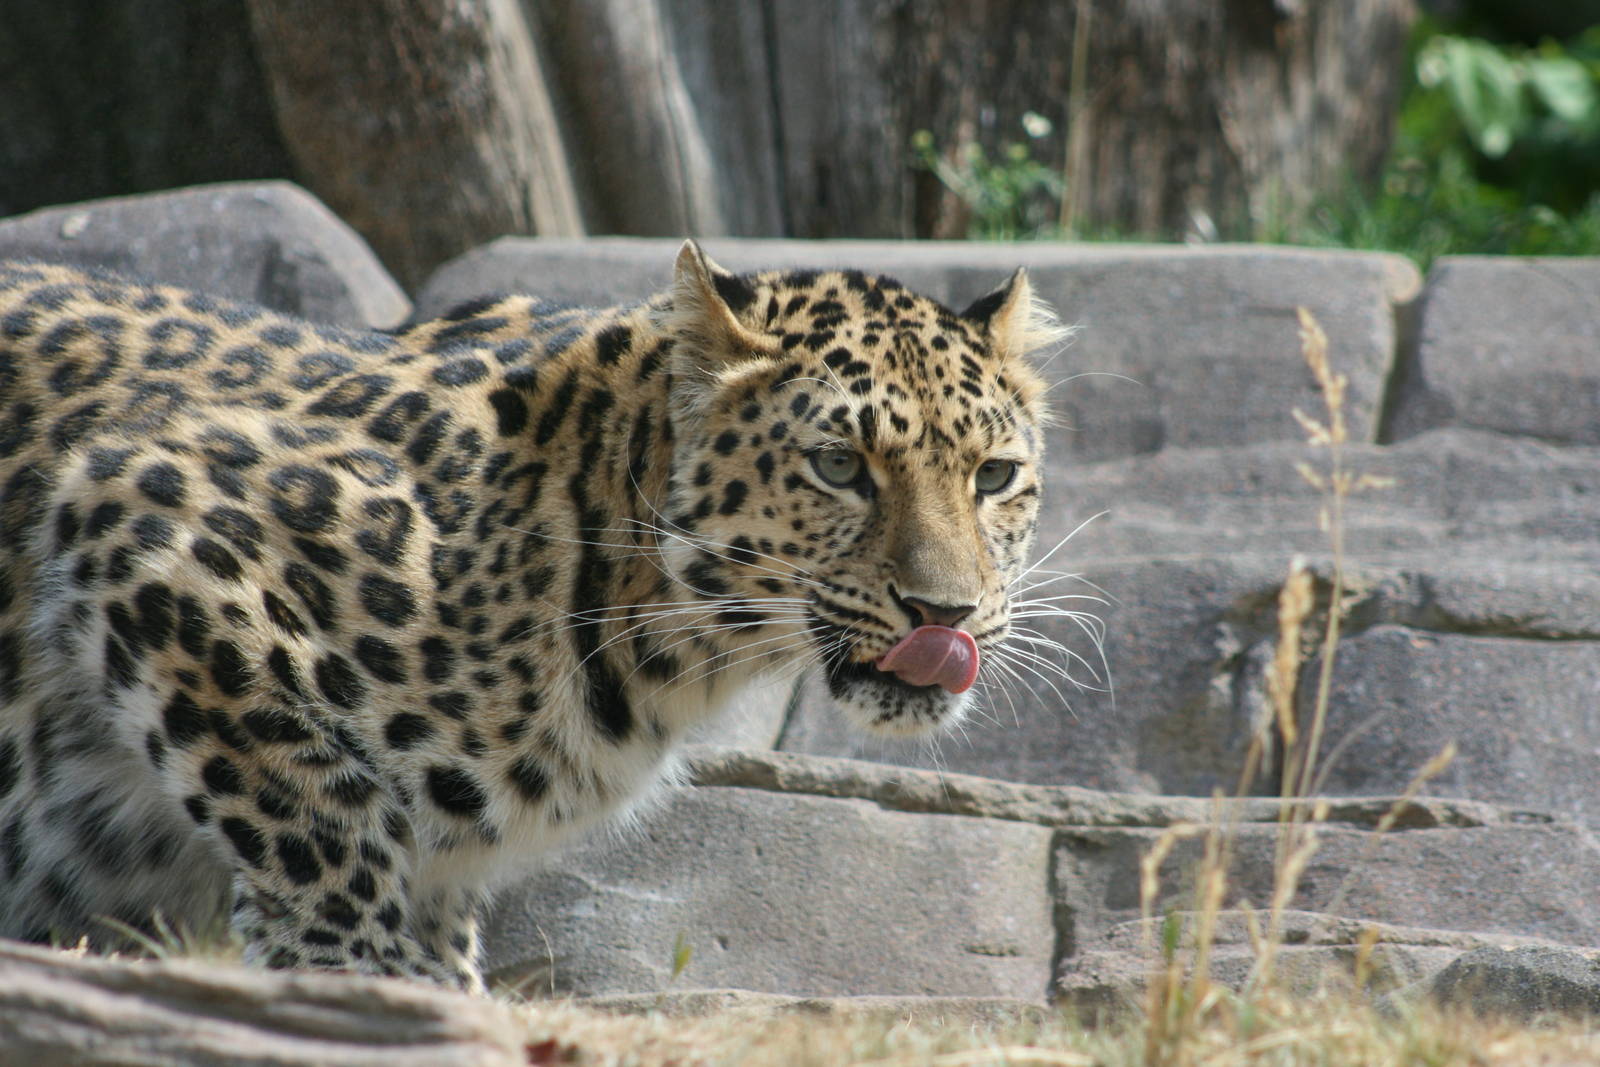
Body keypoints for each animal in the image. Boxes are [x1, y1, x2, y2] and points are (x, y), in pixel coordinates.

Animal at [0, 241, 1067, 990]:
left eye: (994, 477)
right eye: (840, 466)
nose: (946, 611)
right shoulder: (146, 503)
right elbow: (314, 801)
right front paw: (353, 979)